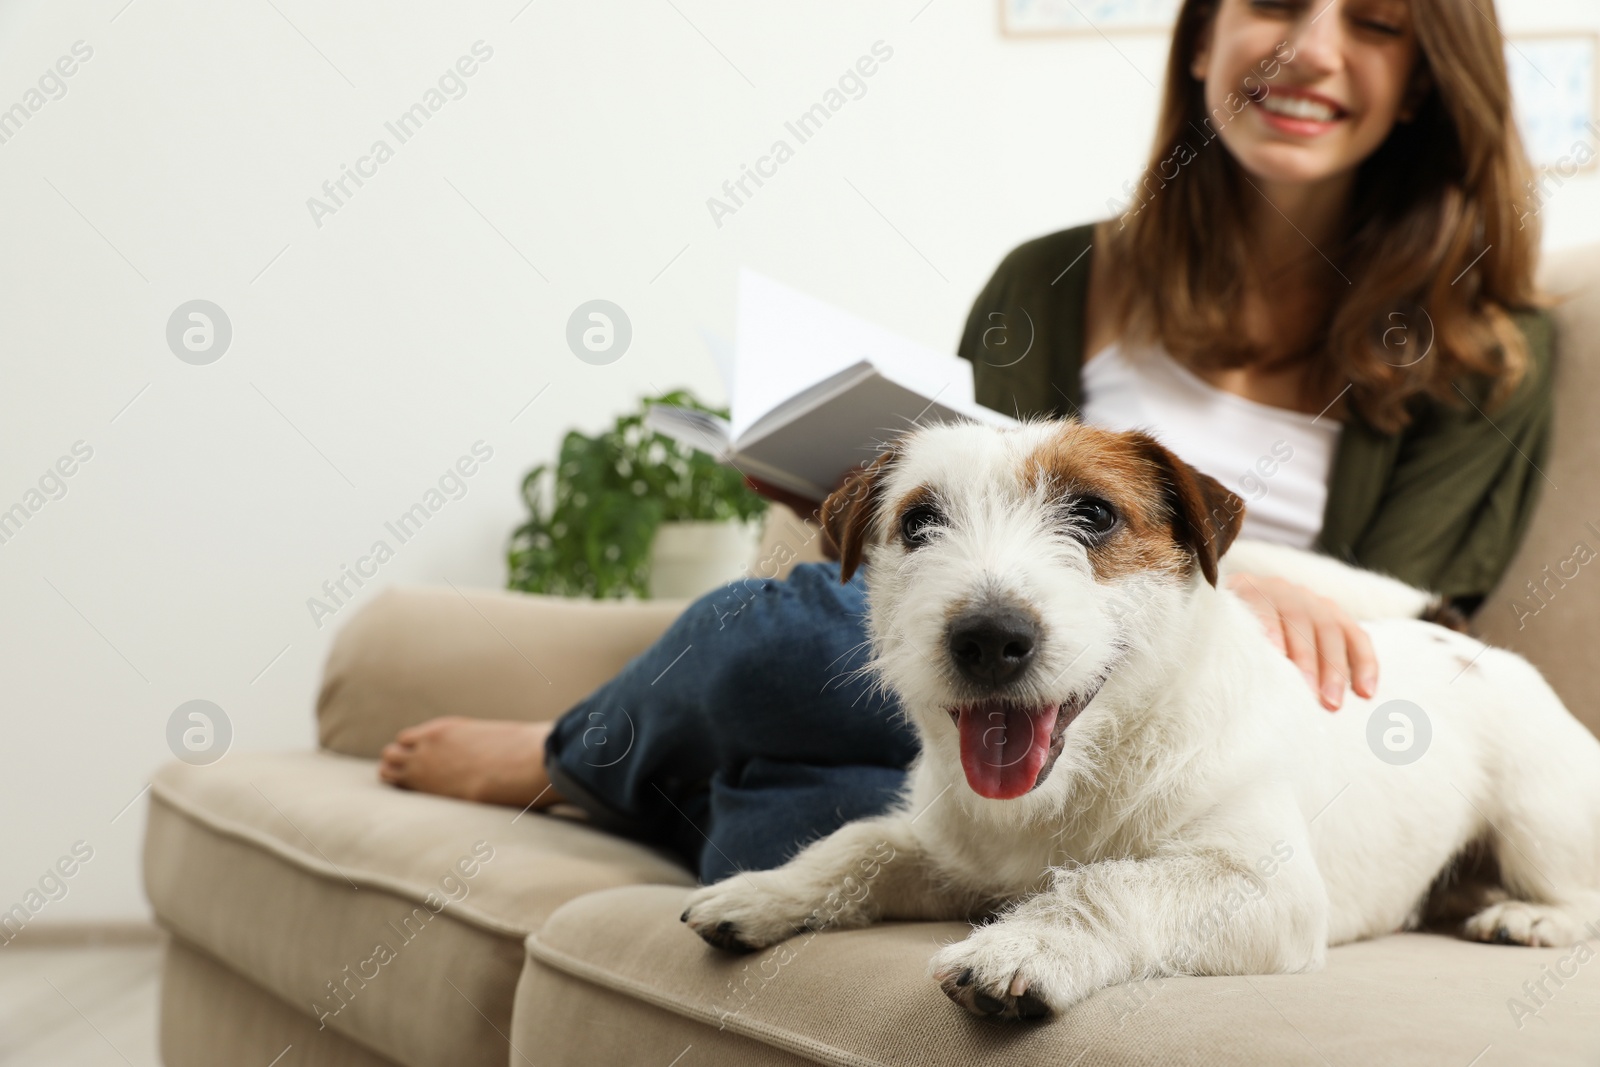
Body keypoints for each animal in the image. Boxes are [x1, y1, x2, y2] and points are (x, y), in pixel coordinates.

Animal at [675, 415, 1600, 1017]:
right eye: (918, 521)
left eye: (1093, 513)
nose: (988, 637)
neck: (1090, 771)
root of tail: (1467, 642)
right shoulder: (952, 851)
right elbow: (858, 845)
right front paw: (765, 890)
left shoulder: (1266, 888)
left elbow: (1113, 884)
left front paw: (1024, 946)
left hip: (1537, 820)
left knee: (1580, 893)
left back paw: (1528, 917)